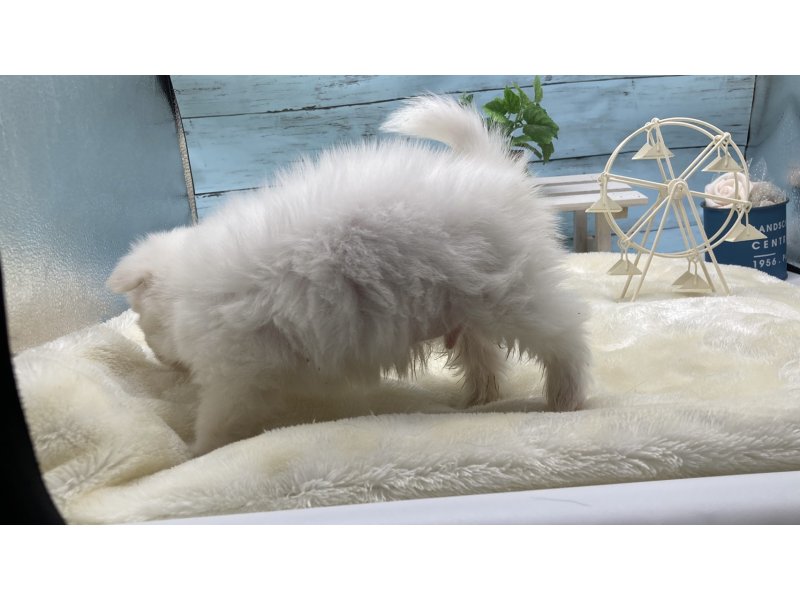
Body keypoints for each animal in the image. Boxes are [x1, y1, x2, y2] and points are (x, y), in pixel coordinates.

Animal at [108, 95, 590, 455]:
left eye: (141, 320)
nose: (160, 359)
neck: (182, 290)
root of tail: (491, 168)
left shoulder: (238, 370)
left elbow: (219, 421)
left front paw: (194, 450)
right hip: (465, 302)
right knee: (483, 355)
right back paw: (477, 399)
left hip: (511, 292)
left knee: (563, 336)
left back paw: (566, 397)